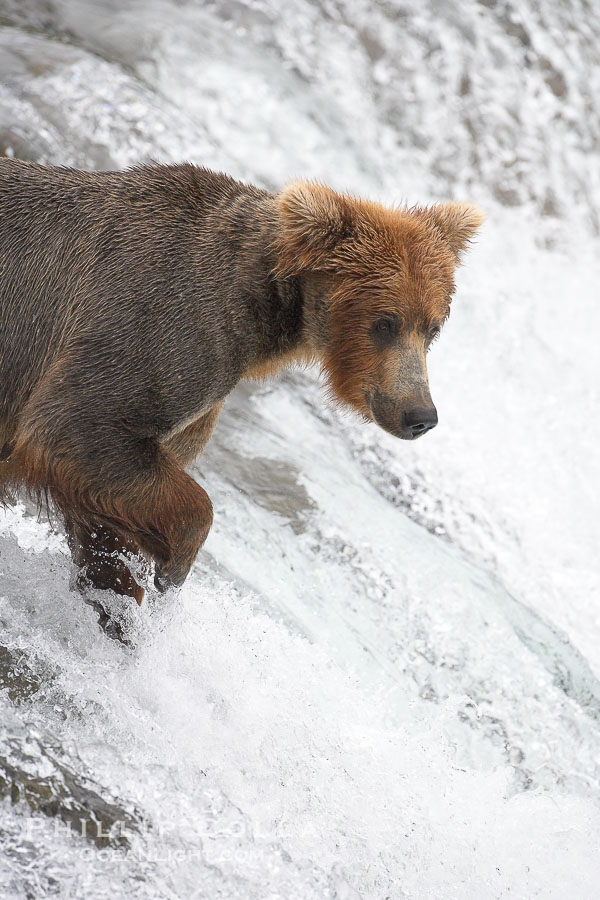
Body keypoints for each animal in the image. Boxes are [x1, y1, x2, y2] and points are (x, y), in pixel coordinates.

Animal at [0, 159, 483, 607]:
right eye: (385, 323)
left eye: (433, 328)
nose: (420, 414)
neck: (257, 318)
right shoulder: (158, 324)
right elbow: (79, 425)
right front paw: (171, 570)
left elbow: (110, 504)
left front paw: (120, 592)